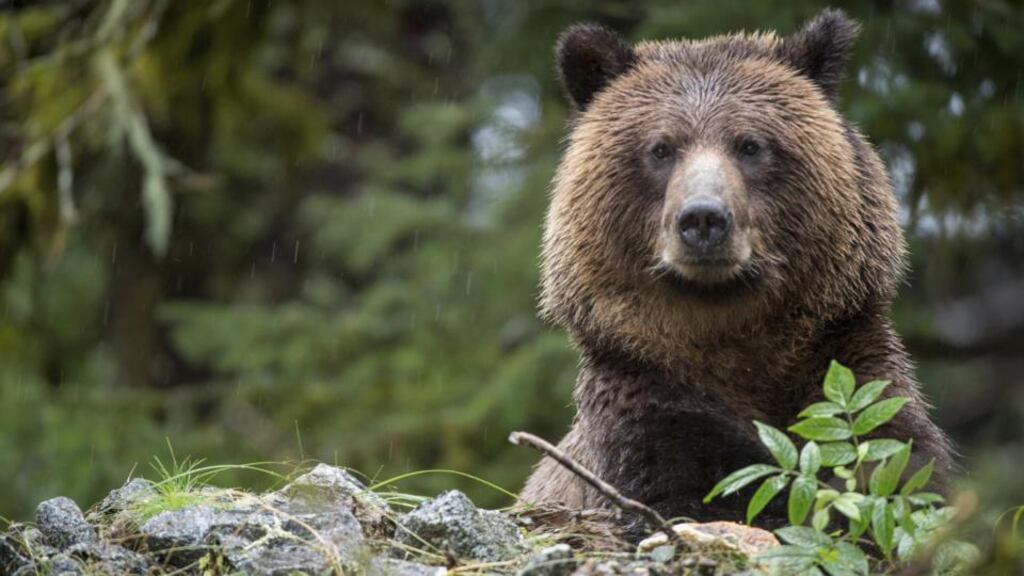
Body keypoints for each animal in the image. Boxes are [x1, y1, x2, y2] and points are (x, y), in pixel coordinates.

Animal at [519, 9, 953, 526]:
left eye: (750, 145)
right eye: (661, 148)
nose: (703, 218)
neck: (731, 338)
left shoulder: (850, 371)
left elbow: (899, 464)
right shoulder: (646, 405)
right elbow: (693, 489)